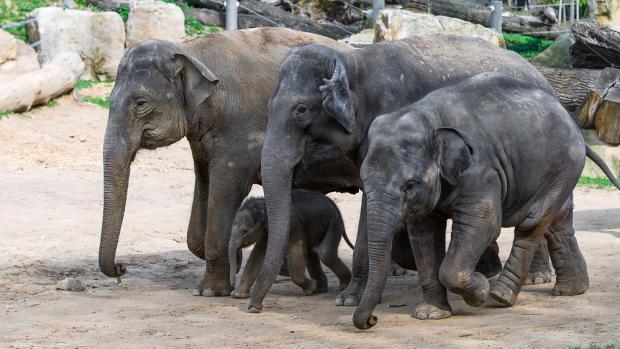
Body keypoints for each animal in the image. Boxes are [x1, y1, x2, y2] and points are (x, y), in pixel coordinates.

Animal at [100, 27, 346, 294]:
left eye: (140, 103)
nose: (121, 268)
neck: (190, 50)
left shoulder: (239, 135)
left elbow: (226, 191)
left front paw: (210, 290)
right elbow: (202, 198)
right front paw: (233, 263)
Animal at [249, 34, 560, 310]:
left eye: (301, 110)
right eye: (268, 107)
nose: (256, 307)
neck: (353, 61)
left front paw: (349, 299)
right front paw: (353, 297)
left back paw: (535, 278)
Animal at [354, 71, 620, 328]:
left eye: (409, 186)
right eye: (363, 180)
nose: (372, 319)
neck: (428, 119)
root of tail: (572, 119)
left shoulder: (481, 170)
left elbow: (482, 224)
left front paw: (480, 291)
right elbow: (424, 234)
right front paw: (431, 314)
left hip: (563, 165)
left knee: (532, 222)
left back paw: (500, 296)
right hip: (560, 171)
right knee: (558, 220)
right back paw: (571, 290)